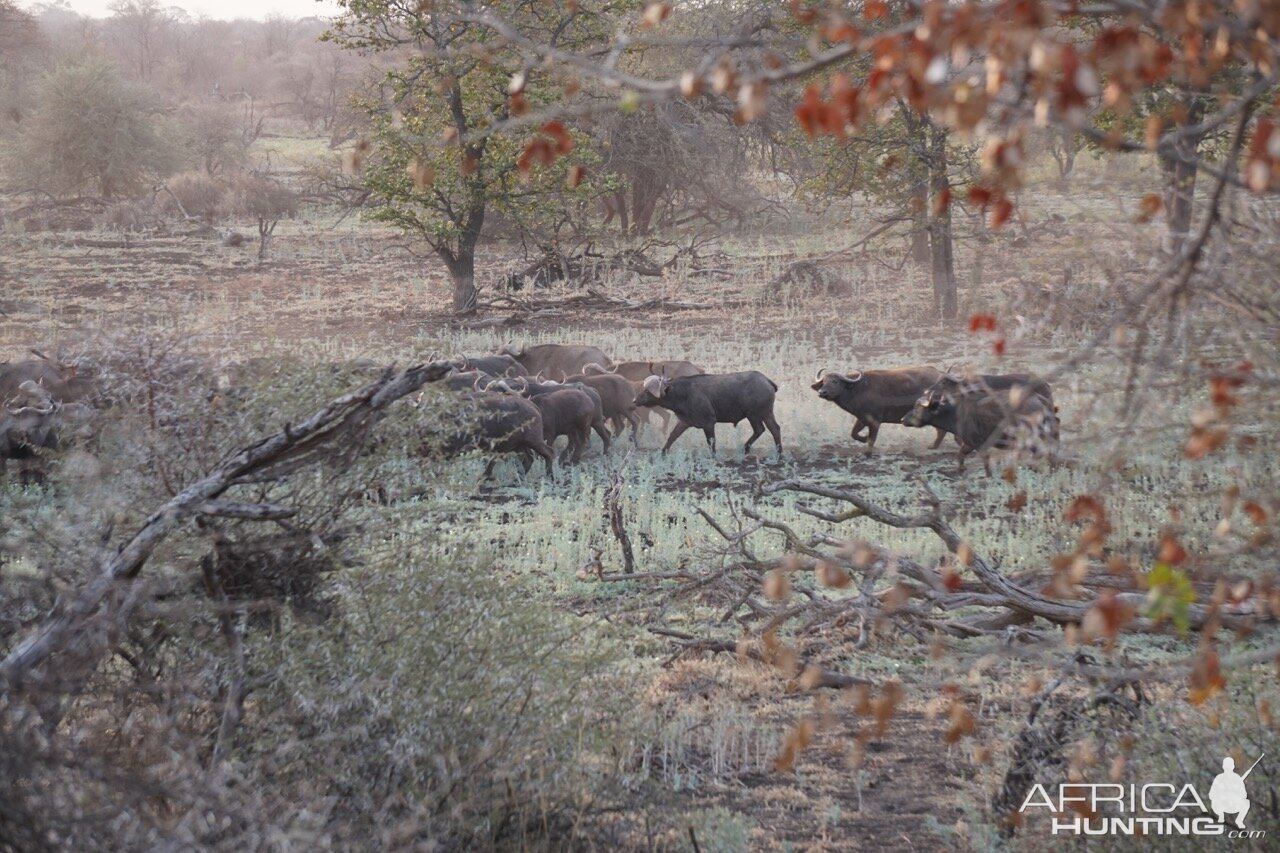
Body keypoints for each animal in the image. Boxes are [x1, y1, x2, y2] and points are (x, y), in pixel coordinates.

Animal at [632, 368, 778, 455]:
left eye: (647, 391)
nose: (634, 400)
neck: (684, 393)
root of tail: (766, 380)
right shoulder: (684, 422)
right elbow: (672, 436)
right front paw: (663, 453)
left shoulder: (708, 423)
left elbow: (711, 442)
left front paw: (713, 458)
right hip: (766, 413)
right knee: (774, 428)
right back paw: (778, 453)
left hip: (754, 415)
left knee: (761, 429)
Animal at [814, 368, 947, 455]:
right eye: (823, 381)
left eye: (835, 381)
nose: (822, 392)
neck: (859, 389)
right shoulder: (862, 418)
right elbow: (854, 433)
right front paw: (864, 438)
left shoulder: (875, 421)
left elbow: (872, 439)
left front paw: (868, 452)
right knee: (941, 431)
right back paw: (933, 446)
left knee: (942, 431)